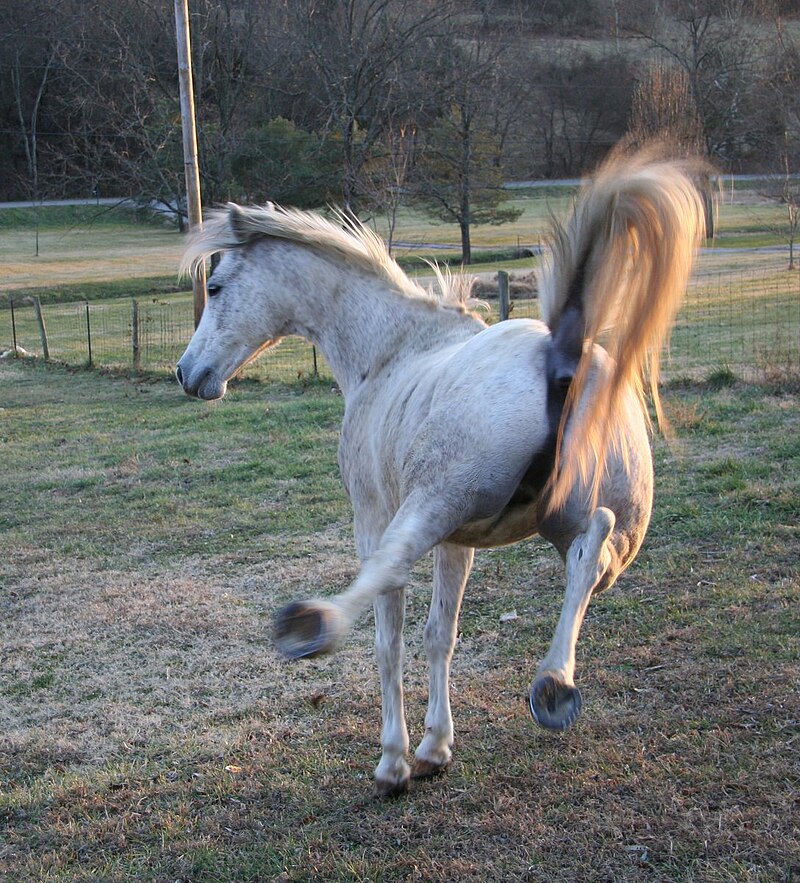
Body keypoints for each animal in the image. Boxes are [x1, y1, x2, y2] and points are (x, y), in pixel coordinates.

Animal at [177, 147, 708, 800]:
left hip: (429, 507)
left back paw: (312, 626)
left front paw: (396, 760)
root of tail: (563, 354)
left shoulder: (378, 517)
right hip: (589, 527)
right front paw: (435, 748)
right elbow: (441, 634)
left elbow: (391, 635)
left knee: (388, 579)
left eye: (217, 285)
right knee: (592, 554)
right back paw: (553, 686)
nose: (187, 372)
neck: (389, 350)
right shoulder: (461, 541)